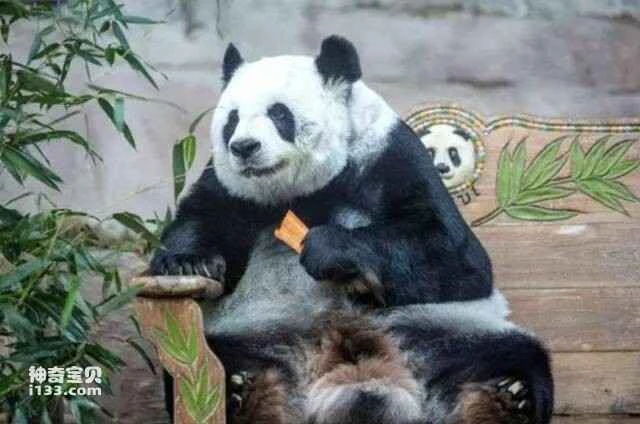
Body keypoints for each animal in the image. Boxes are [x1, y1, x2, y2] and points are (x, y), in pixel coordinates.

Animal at [150, 36, 553, 424]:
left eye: (279, 113)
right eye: (232, 120)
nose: (244, 147)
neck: (298, 194)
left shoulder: (390, 156)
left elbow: (458, 259)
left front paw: (328, 249)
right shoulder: (228, 187)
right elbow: (203, 217)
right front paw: (187, 263)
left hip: (444, 329)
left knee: (514, 354)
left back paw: (509, 397)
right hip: (253, 332)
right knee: (209, 362)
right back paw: (242, 394)